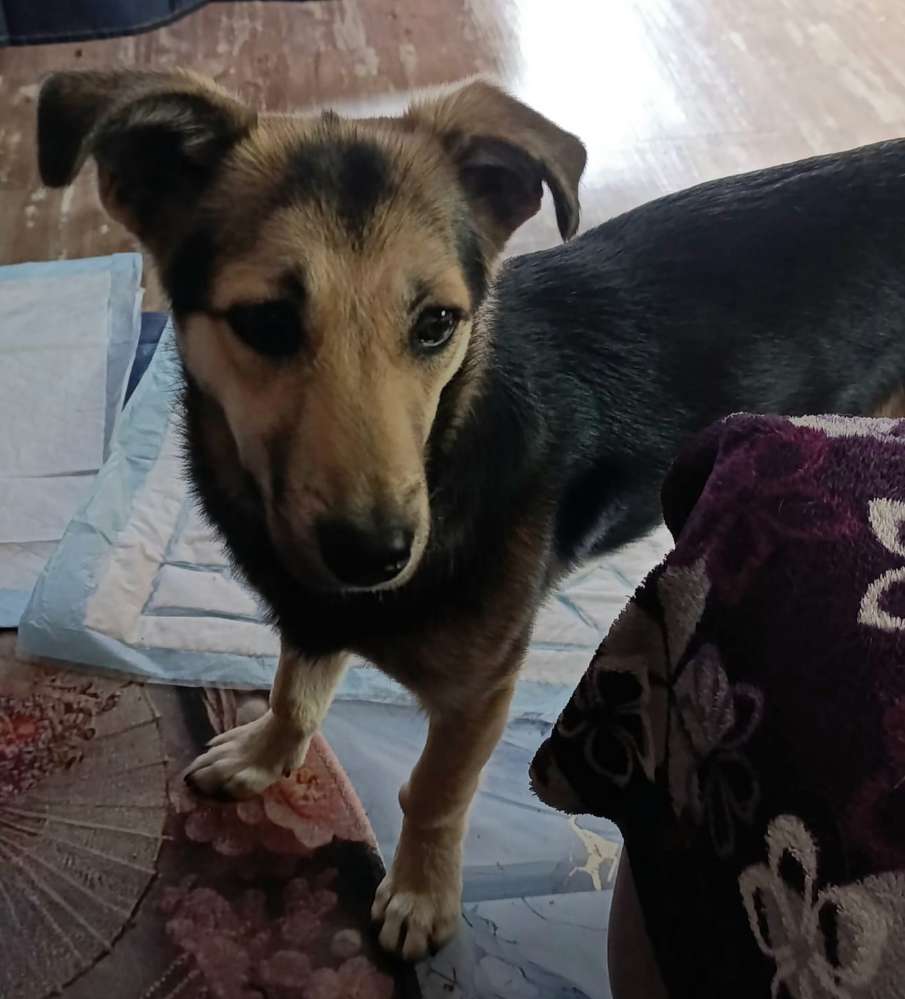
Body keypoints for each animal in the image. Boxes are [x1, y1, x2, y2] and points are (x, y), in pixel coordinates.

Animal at [37, 69, 905, 961]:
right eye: (265, 321)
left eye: (436, 324)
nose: (375, 557)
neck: (445, 446)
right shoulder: (311, 611)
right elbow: (294, 689)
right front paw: (268, 753)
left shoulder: (481, 686)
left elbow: (435, 791)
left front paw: (421, 894)